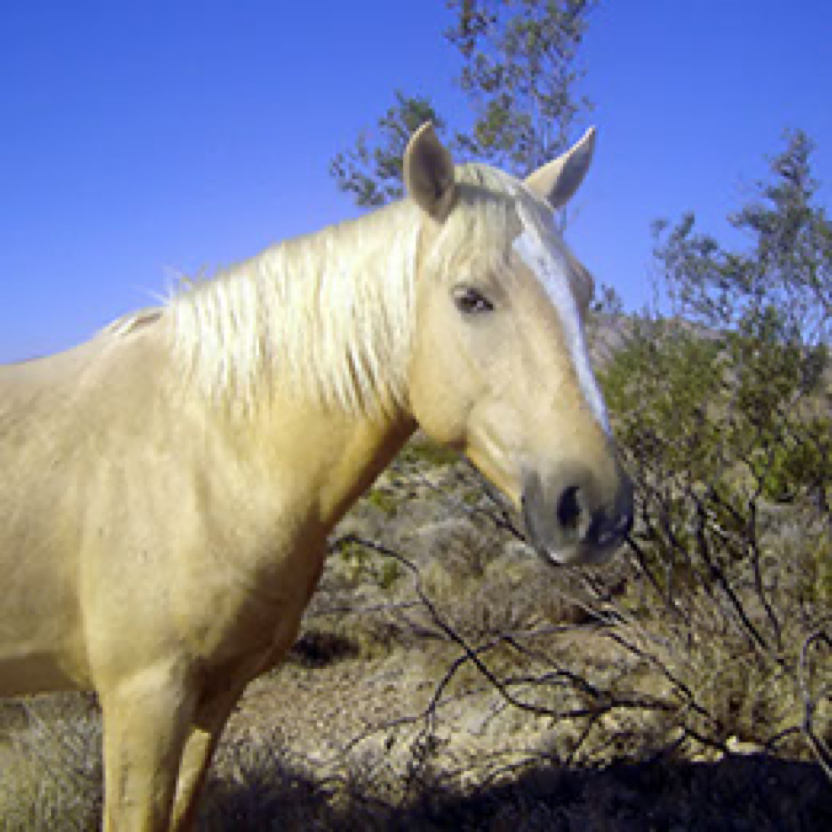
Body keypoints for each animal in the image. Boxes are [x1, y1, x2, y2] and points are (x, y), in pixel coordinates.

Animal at [0, 122, 633, 831]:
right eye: (471, 298)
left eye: (583, 291)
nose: (597, 509)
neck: (210, 452)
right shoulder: (143, 698)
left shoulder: (214, 696)